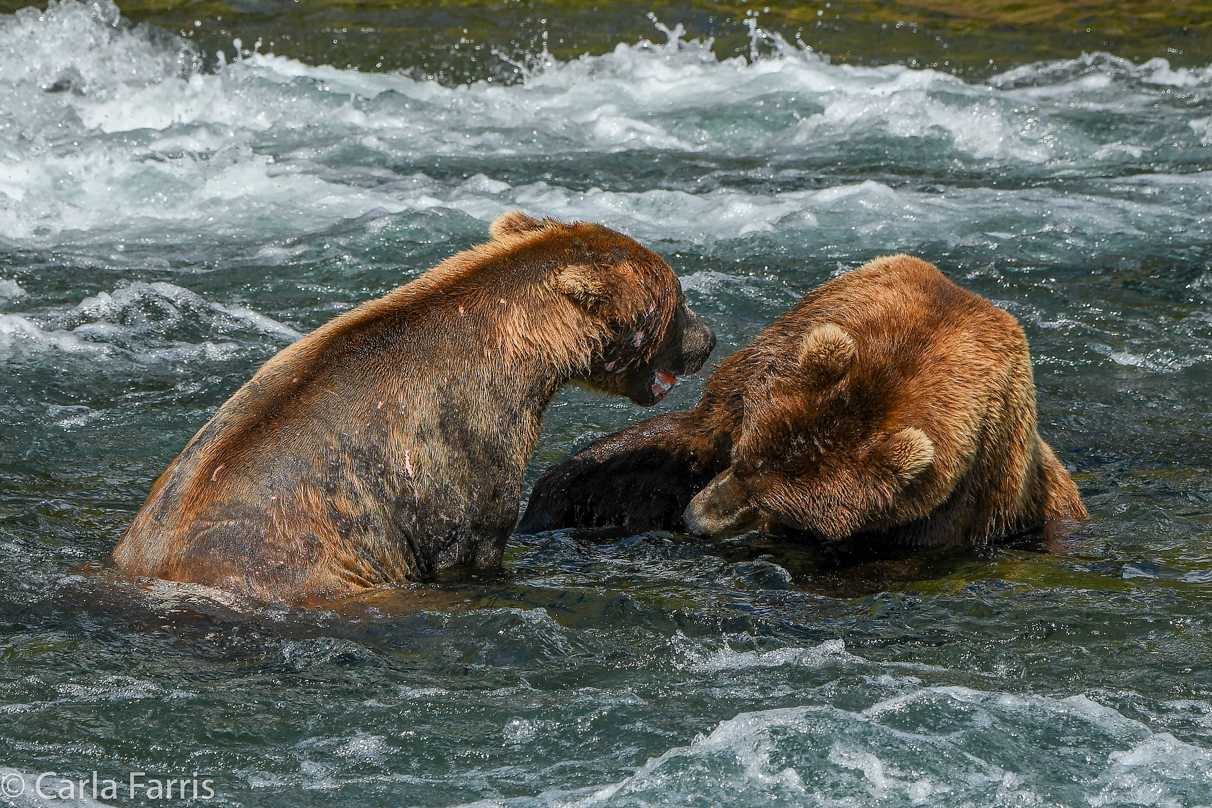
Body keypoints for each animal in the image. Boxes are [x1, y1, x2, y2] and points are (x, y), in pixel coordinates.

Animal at [521, 255, 1090, 547]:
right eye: (741, 459)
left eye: (776, 504)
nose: (696, 518)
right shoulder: (779, 354)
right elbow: (664, 446)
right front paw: (562, 496)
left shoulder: (959, 502)